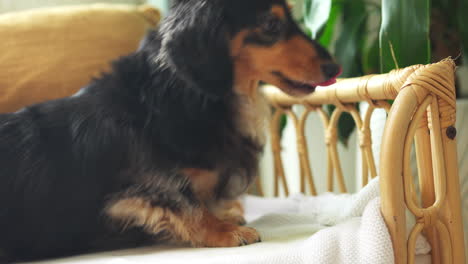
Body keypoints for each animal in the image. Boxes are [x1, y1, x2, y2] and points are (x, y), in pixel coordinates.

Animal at [0, 0, 338, 260]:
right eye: (270, 24)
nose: (336, 68)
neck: (178, 97)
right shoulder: (140, 188)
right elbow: (186, 203)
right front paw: (226, 230)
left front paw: (227, 214)